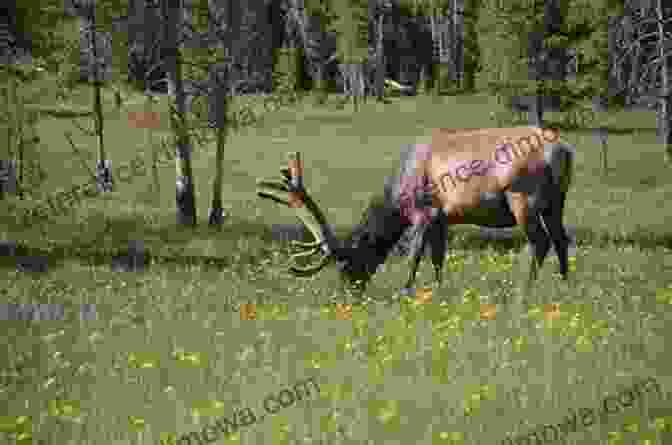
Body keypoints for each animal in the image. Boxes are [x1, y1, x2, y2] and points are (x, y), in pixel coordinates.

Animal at [255, 125, 576, 292]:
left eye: (348, 262)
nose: (348, 291)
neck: (397, 198)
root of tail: (563, 150)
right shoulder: (443, 219)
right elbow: (438, 258)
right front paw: (437, 289)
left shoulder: (424, 212)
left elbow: (413, 255)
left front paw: (405, 290)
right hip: (556, 201)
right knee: (561, 239)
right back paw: (564, 283)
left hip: (523, 197)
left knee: (540, 241)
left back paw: (526, 289)